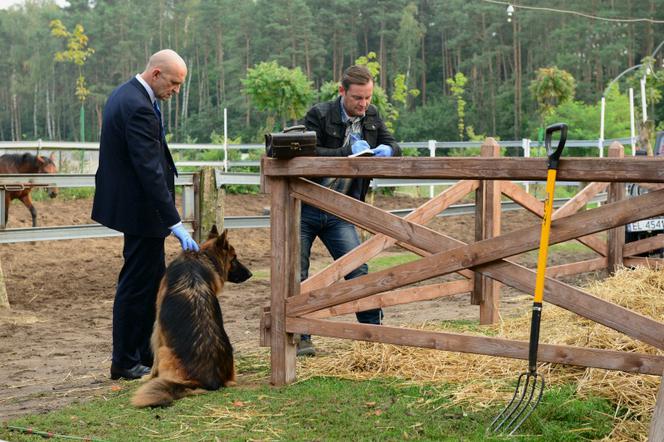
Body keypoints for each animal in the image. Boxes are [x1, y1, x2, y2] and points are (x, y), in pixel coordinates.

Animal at [132, 224, 252, 408]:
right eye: (234, 259)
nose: (250, 274)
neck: (201, 257)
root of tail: (209, 380)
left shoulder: (158, 327)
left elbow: (154, 360)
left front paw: (148, 376)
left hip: (165, 351)